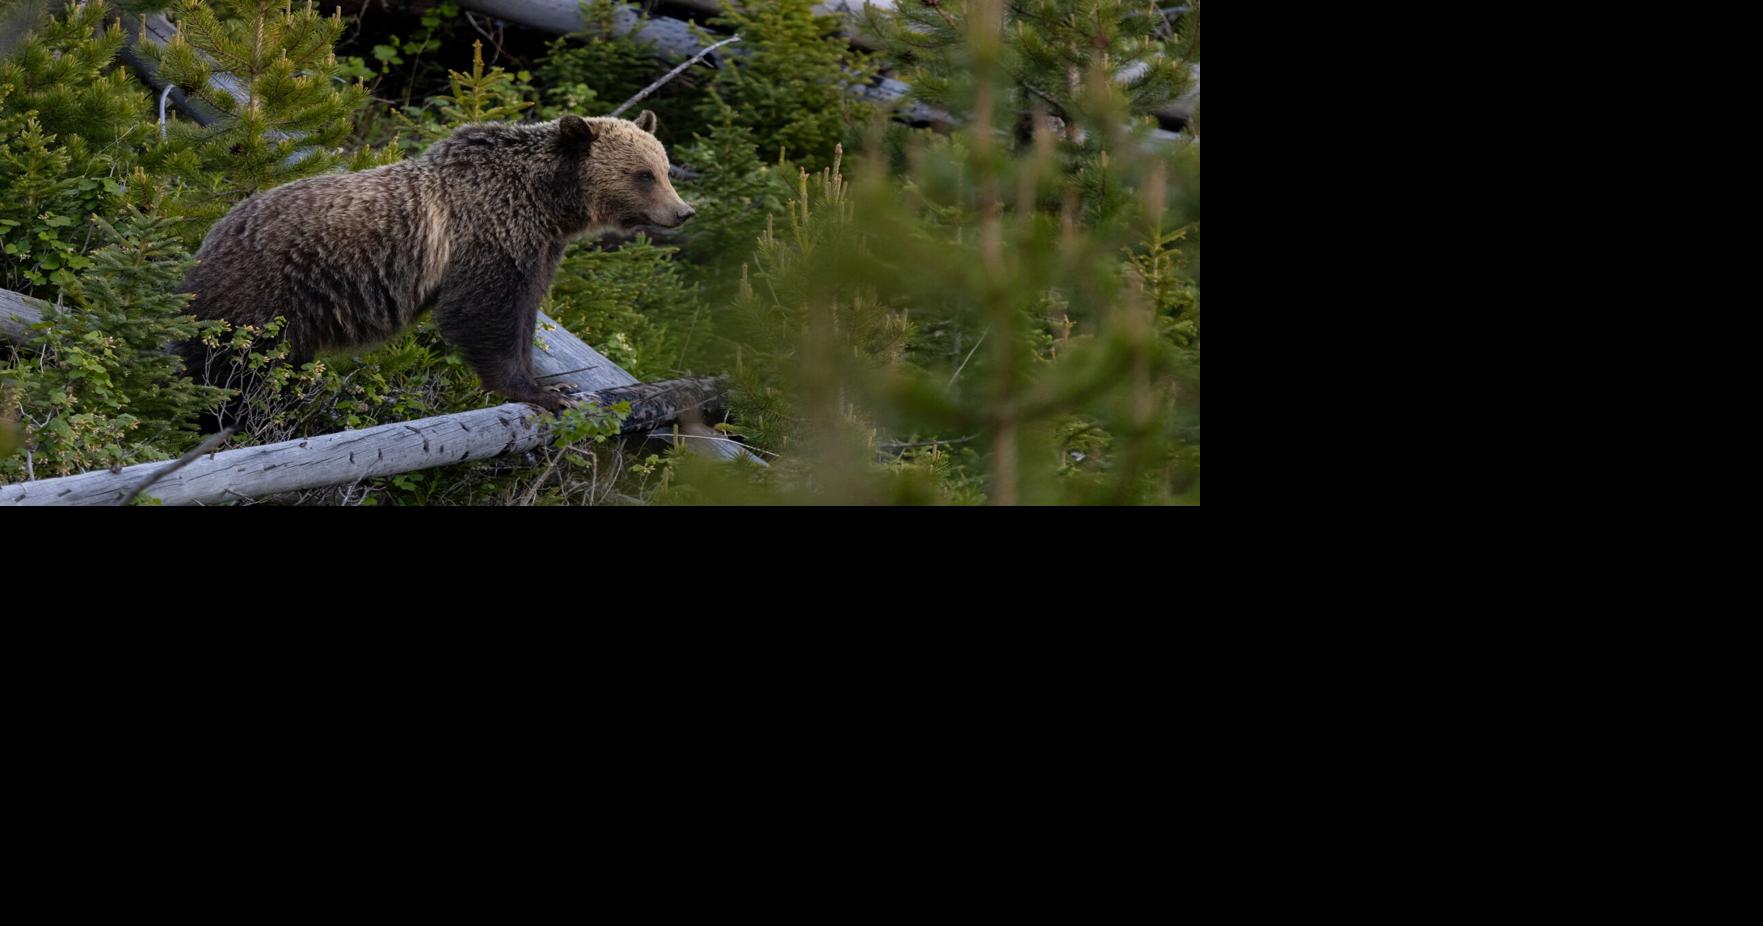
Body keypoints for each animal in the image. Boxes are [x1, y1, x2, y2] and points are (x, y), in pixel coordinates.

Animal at [176, 111, 693, 418]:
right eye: (643, 174)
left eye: (665, 167)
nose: (682, 212)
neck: (545, 203)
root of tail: (208, 236)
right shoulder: (489, 236)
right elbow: (485, 312)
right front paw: (537, 391)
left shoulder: (538, 249)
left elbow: (525, 313)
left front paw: (556, 385)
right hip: (262, 293)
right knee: (225, 363)